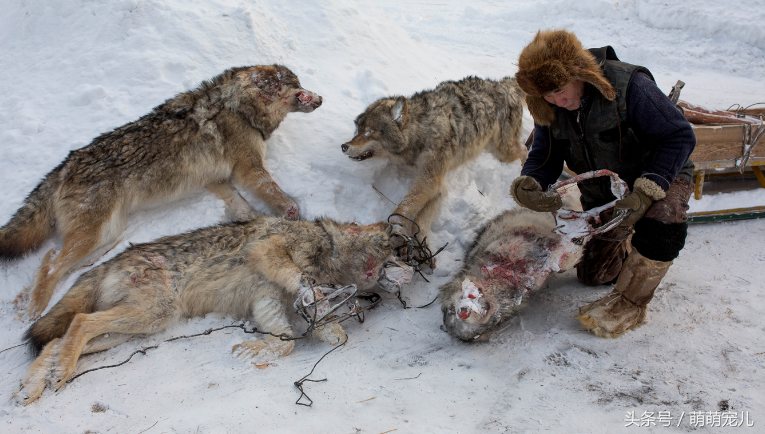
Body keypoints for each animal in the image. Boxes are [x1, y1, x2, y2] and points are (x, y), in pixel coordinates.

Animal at [0, 66, 322, 320]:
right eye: (297, 85)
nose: (320, 98)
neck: (237, 106)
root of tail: (64, 166)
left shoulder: (216, 179)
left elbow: (241, 206)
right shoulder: (249, 170)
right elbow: (277, 196)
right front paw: (290, 213)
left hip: (105, 236)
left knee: (51, 258)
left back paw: (24, 304)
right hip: (95, 235)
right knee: (52, 265)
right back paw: (33, 312)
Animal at [14, 215, 394, 406]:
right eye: (389, 248)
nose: (394, 230)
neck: (329, 251)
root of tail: (109, 262)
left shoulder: (266, 299)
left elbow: (285, 340)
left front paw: (251, 350)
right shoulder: (270, 251)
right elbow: (301, 288)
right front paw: (314, 297)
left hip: (137, 327)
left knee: (56, 342)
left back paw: (34, 387)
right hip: (153, 314)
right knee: (78, 322)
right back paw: (55, 376)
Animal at [340, 76, 524, 256]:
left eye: (370, 132)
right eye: (358, 130)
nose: (344, 146)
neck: (423, 130)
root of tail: (502, 84)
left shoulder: (430, 179)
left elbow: (404, 207)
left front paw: (398, 228)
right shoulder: (438, 184)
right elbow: (420, 219)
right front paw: (421, 246)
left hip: (504, 152)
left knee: (523, 151)